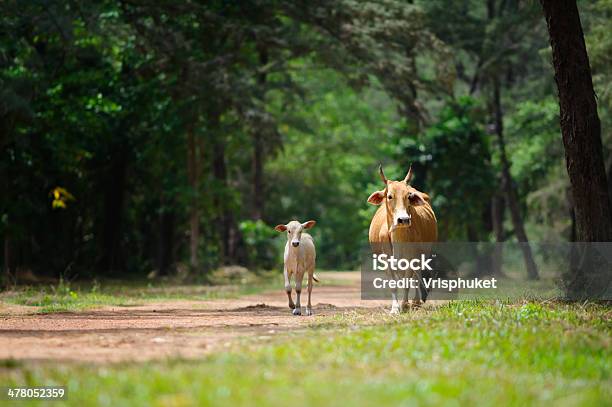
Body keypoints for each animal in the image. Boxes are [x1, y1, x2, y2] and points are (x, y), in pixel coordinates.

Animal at [368, 164, 436, 314]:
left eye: (408, 196)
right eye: (389, 196)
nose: (403, 219)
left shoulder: (412, 258)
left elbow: (407, 282)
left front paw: (405, 305)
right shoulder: (385, 261)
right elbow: (393, 284)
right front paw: (395, 308)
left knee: (416, 277)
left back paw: (415, 302)